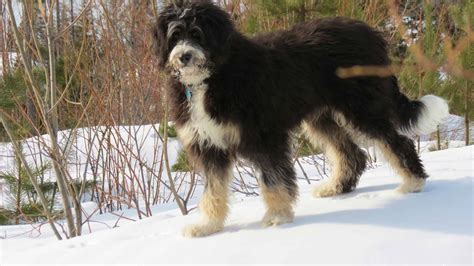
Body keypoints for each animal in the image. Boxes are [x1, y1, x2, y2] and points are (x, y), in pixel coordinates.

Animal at [151, 0, 448, 237]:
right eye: (175, 36)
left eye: (197, 34)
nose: (184, 56)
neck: (213, 76)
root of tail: (370, 33)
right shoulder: (209, 144)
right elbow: (213, 189)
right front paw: (208, 226)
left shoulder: (264, 135)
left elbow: (272, 180)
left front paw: (277, 217)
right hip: (322, 117)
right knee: (351, 154)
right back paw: (336, 187)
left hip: (362, 107)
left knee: (396, 142)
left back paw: (413, 182)